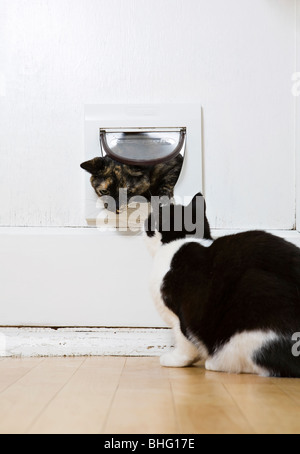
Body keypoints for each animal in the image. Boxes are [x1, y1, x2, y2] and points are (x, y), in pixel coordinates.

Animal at [144, 193, 300, 378]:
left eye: (151, 219)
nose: (144, 223)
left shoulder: (179, 315)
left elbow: (185, 342)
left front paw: (175, 360)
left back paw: (217, 363)